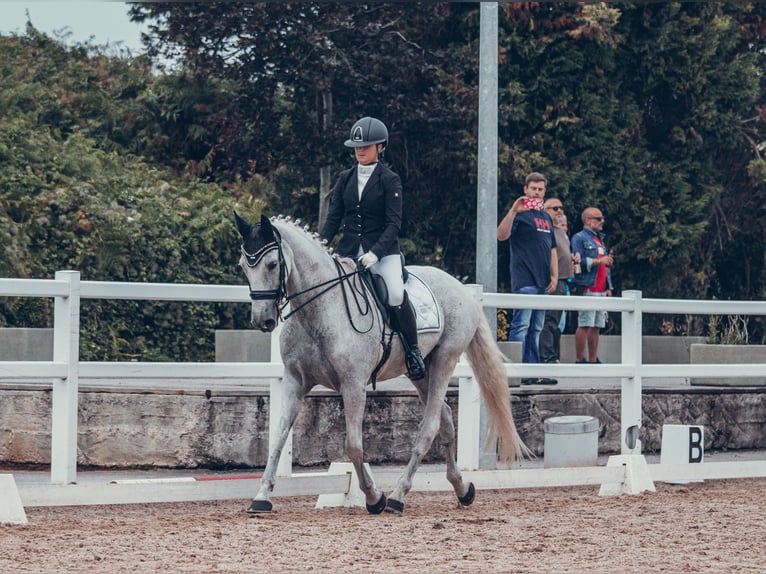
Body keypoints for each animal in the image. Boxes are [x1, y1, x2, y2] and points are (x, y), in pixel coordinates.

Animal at [237, 214, 532, 516]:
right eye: (243, 267)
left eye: (272, 264)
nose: (263, 321)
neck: (318, 310)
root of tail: (462, 288)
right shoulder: (295, 382)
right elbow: (278, 438)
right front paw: (261, 496)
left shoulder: (353, 385)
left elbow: (353, 446)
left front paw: (373, 497)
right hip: (420, 372)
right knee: (446, 419)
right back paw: (462, 488)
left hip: (445, 360)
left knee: (430, 427)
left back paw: (398, 495)